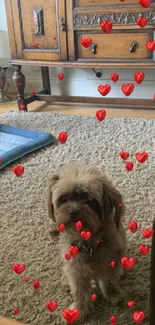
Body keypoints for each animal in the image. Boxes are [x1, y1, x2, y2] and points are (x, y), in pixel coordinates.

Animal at [47, 162, 126, 318]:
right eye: (64, 198)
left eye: (89, 200)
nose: (73, 212)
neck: (87, 243)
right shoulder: (75, 269)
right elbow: (79, 290)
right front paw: (78, 309)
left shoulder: (111, 261)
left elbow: (109, 280)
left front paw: (113, 294)